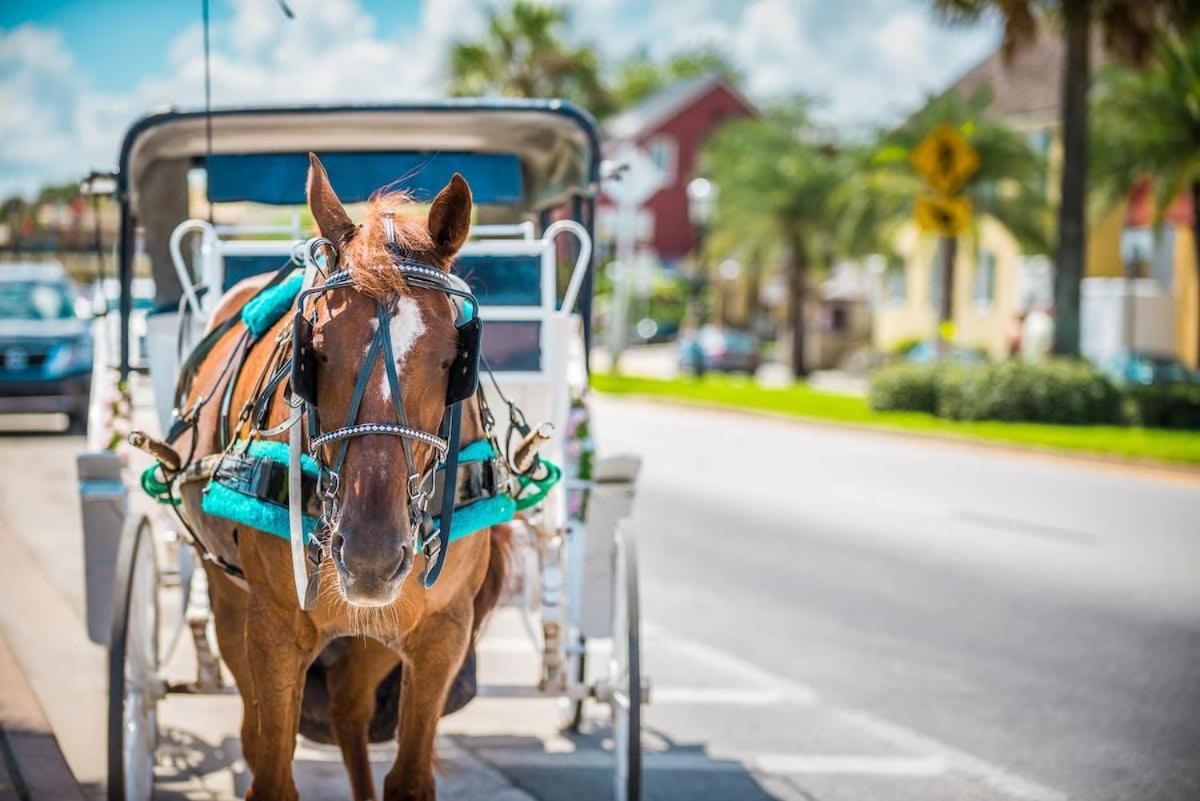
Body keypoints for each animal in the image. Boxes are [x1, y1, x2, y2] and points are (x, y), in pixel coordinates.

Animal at [176, 155, 506, 801]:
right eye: (316, 353)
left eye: (453, 359)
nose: (371, 556)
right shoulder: (273, 631)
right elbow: (271, 771)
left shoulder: (443, 634)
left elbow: (409, 779)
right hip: (228, 596)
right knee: (258, 727)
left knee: (350, 711)